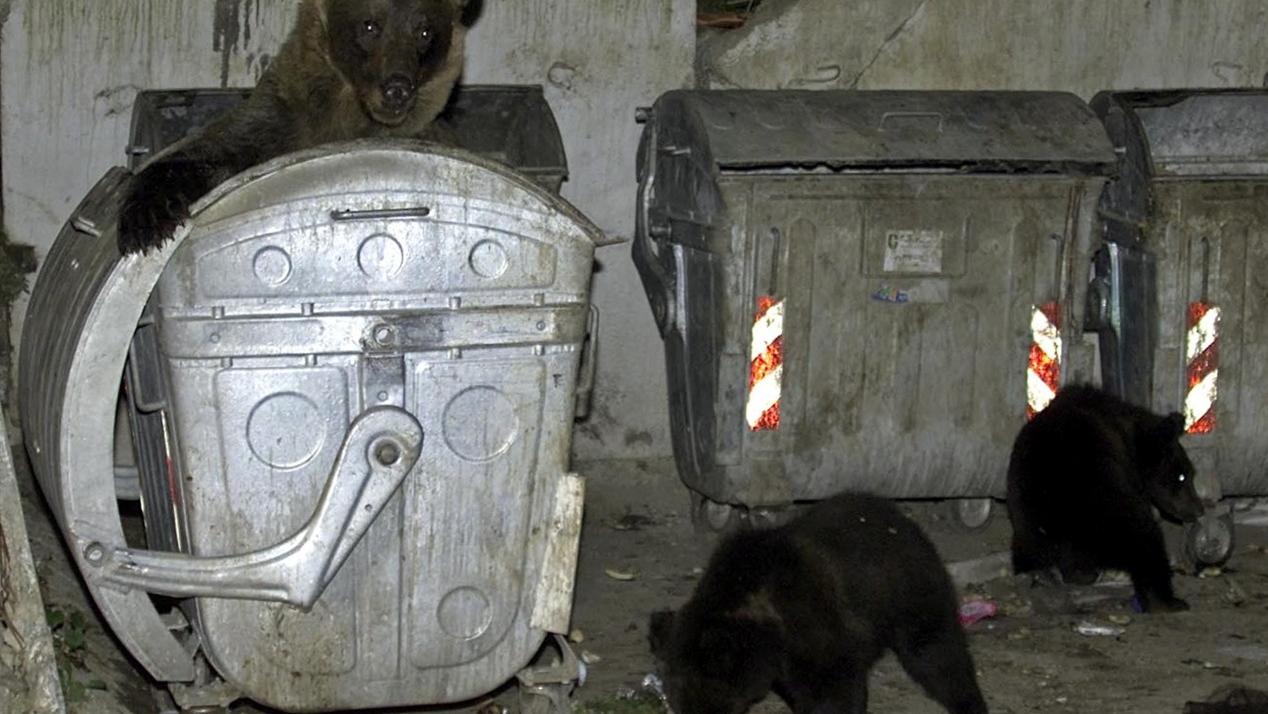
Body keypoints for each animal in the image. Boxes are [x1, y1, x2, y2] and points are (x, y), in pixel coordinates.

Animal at [117, 0, 470, 256]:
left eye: (424, 31)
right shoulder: (279, 121)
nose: (397, 87)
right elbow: (211, 150)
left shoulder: (425, 133)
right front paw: (147, 220)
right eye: (370, 25)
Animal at [649, 492, 988, 714]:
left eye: (702, 698)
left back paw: (968, 701)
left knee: (935, 654)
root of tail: (902, 518)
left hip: (908, 593)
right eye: (675, 696)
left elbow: (835, 693)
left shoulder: (819, 634)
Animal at [1006, 384, 1206, 613]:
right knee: (1145, 540)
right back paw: (1165, 599)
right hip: (1106, 506)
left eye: (1190, 473)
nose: (1199, 509)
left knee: (1030, 552)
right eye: (1182, 476)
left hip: (1028, 517)